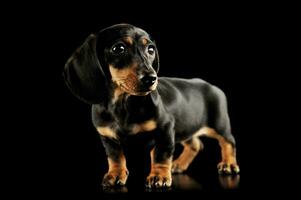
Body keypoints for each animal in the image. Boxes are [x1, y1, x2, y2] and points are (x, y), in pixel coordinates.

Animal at [62, 23, 239, 188]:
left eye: (151, 49)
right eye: (118, 48)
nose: (151, 79)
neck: (122, 104)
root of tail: (212, 86)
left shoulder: (165, 129)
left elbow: (160, 155)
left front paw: (159, 176)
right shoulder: (107, 136)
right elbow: (115, 157)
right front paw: (115, 174)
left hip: (219, 125)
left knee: (228, 142)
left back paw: (229, 164)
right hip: (186, 127)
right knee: (195, 144)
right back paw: (179, 164)